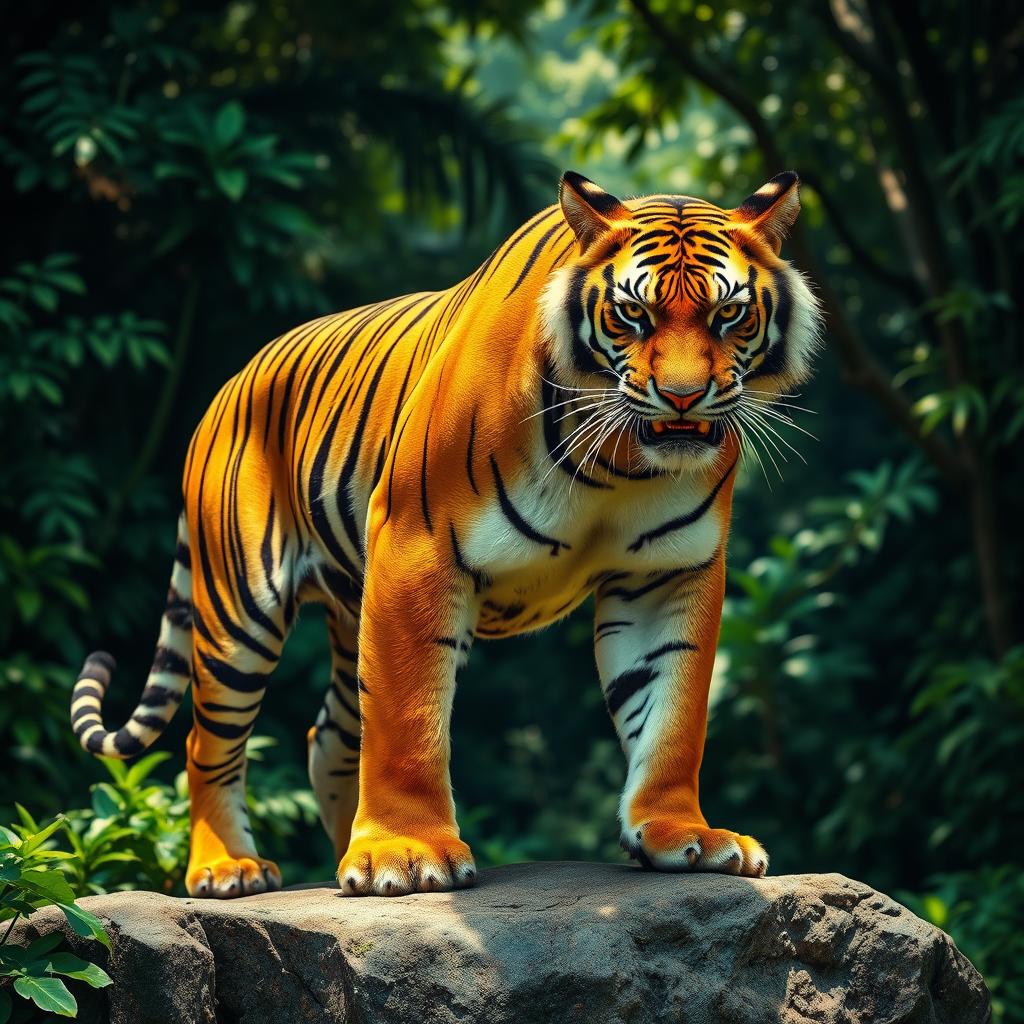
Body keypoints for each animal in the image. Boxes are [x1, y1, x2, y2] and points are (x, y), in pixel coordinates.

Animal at [70, 170, 821, 898]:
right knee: (208, 743)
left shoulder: (669, 573)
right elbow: (409, 721)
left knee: (329, 735)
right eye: (634, 313)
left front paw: (680, 835)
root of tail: (226, 389)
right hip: (239, 610)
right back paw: (228, 867)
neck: (618, 463)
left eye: (729, 313)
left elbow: (672, 711)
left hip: (350, 614)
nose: (684, 397)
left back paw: (342, 852)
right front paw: (405, 856)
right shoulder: (417, 547)